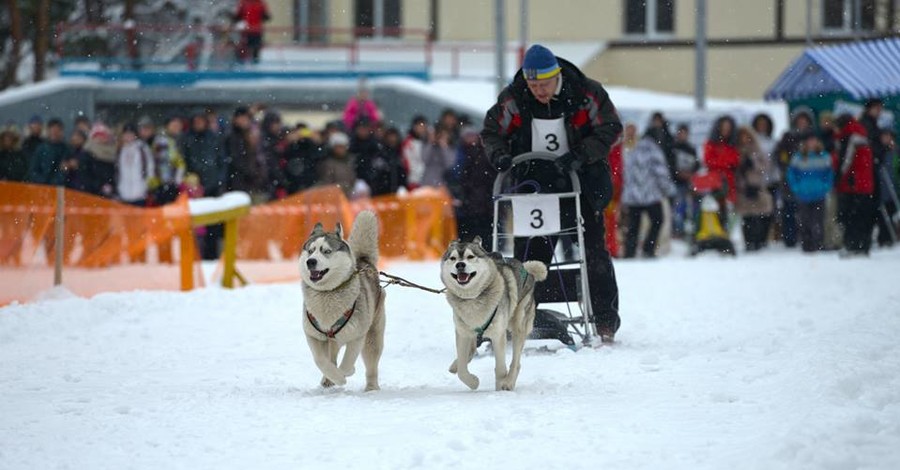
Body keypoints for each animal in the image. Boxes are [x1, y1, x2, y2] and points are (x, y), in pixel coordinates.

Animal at [300, 211, 384, 392]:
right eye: (310, 251)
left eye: (326, 251)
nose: (310, 261)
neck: (327, 293)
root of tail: (364, 261)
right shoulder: (313, 335)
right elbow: (321, 360)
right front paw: (333, 377)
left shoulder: (357, 336)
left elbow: (347, 363)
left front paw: (344, 375)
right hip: (332, 340)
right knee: (331, 357)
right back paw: (327, 379)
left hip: (372, 337)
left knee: (371, 365)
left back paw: (371, 388)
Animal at [438, 237, 544, 392]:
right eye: (453, 258)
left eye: (470, 256)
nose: (460, 265)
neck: (473, 298)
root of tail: (526, 269)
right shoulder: (463, 333)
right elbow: (462, 371)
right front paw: (473, 382)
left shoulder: (498, 334)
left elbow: (500, 368)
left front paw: (500, 386)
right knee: (470, 352)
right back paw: (455, 365)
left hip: (519, 326)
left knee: (516, 362)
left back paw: (509, 382)